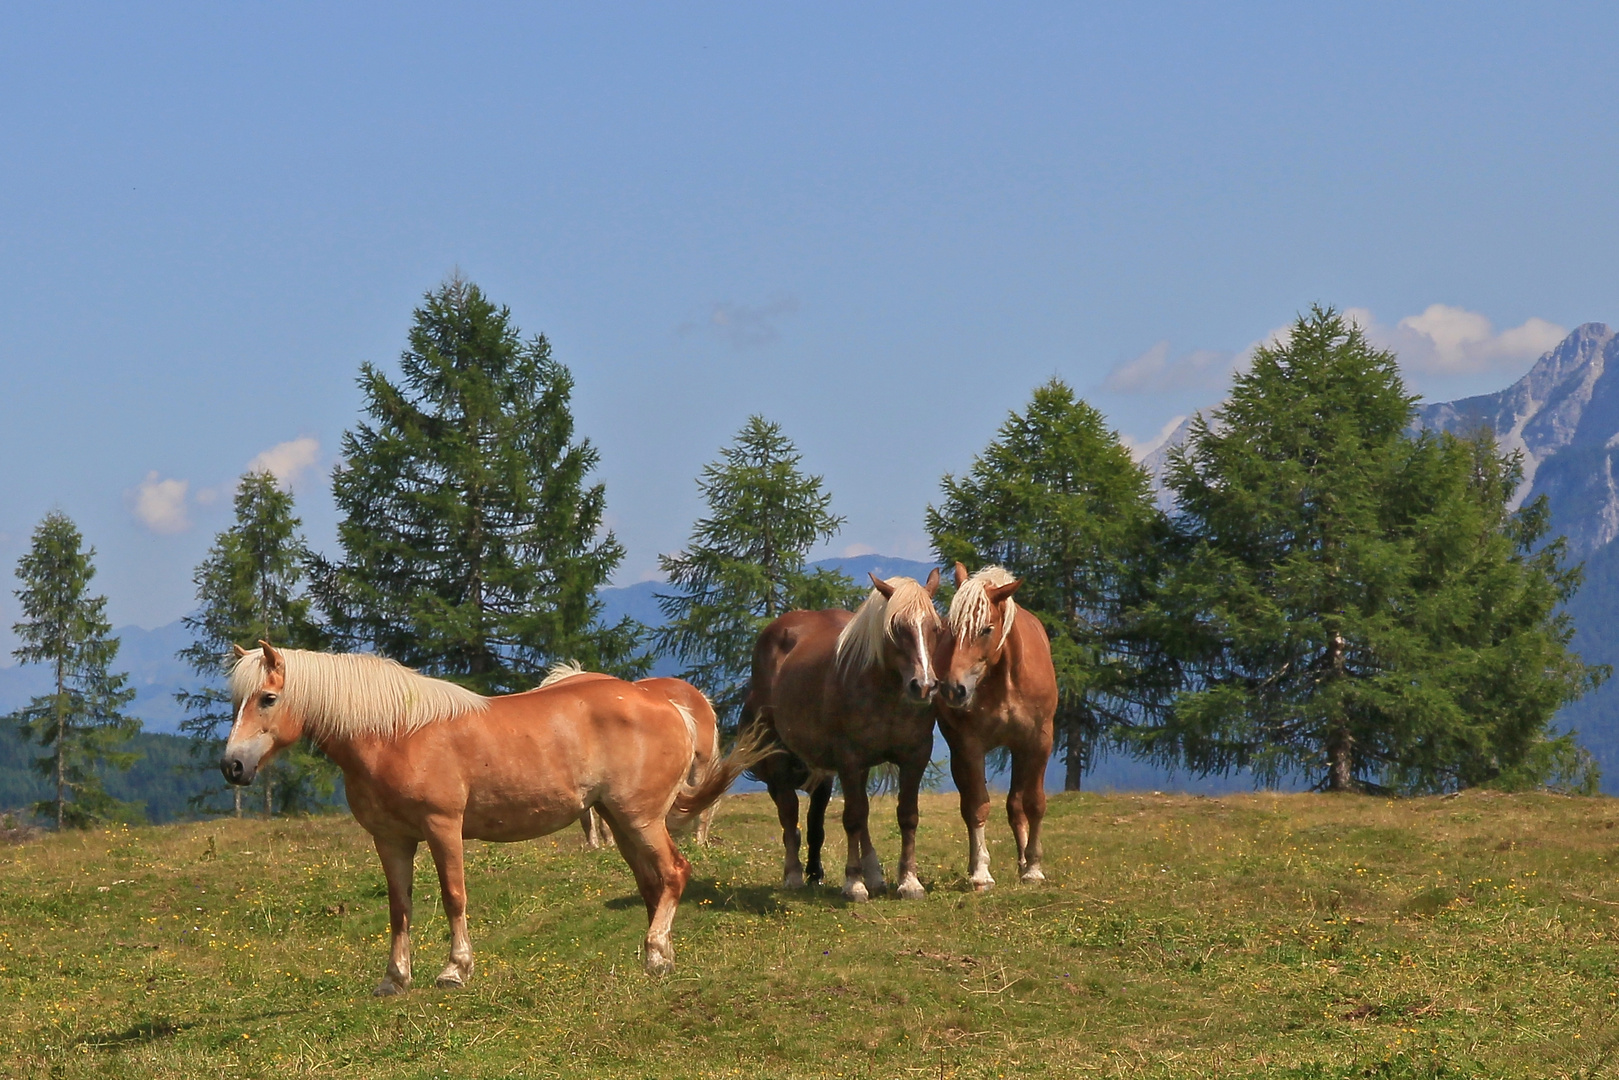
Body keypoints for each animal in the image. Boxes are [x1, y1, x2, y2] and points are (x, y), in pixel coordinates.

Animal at [218, 641, 767, 997]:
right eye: (237, 700)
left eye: (268, 698)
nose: (233, 766)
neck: (395, 733)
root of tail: (671, 705)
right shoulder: (391, 839)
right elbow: (399, 908)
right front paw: (394, 979)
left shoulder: (442, 827)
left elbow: (453, 897)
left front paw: (454, 970)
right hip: (624, 820)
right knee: (654, 883)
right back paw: (659, 956)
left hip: (640, 818)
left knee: (674, 873)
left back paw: (655, 952)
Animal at [741, 573, 945, 906]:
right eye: (895, 628)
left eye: (935, 628)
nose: (924, 686)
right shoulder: (849, 758)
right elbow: (852, 817)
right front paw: (854, 883)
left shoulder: (915, 755)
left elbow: (906, 816)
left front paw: (909, 882)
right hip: (780, 755)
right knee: (790, 813)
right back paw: (794, 874)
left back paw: (871, 874)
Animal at [939, 563, 1062, 893]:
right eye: (950, 628)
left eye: (986, 629)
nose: (953, 690)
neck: (1005, 679)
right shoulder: (969, 747)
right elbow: (977, 806)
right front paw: (981, 873)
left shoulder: (1038, 743)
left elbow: (1033, 803)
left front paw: (1033, 868)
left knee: (1016, 805)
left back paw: (1022, 862)